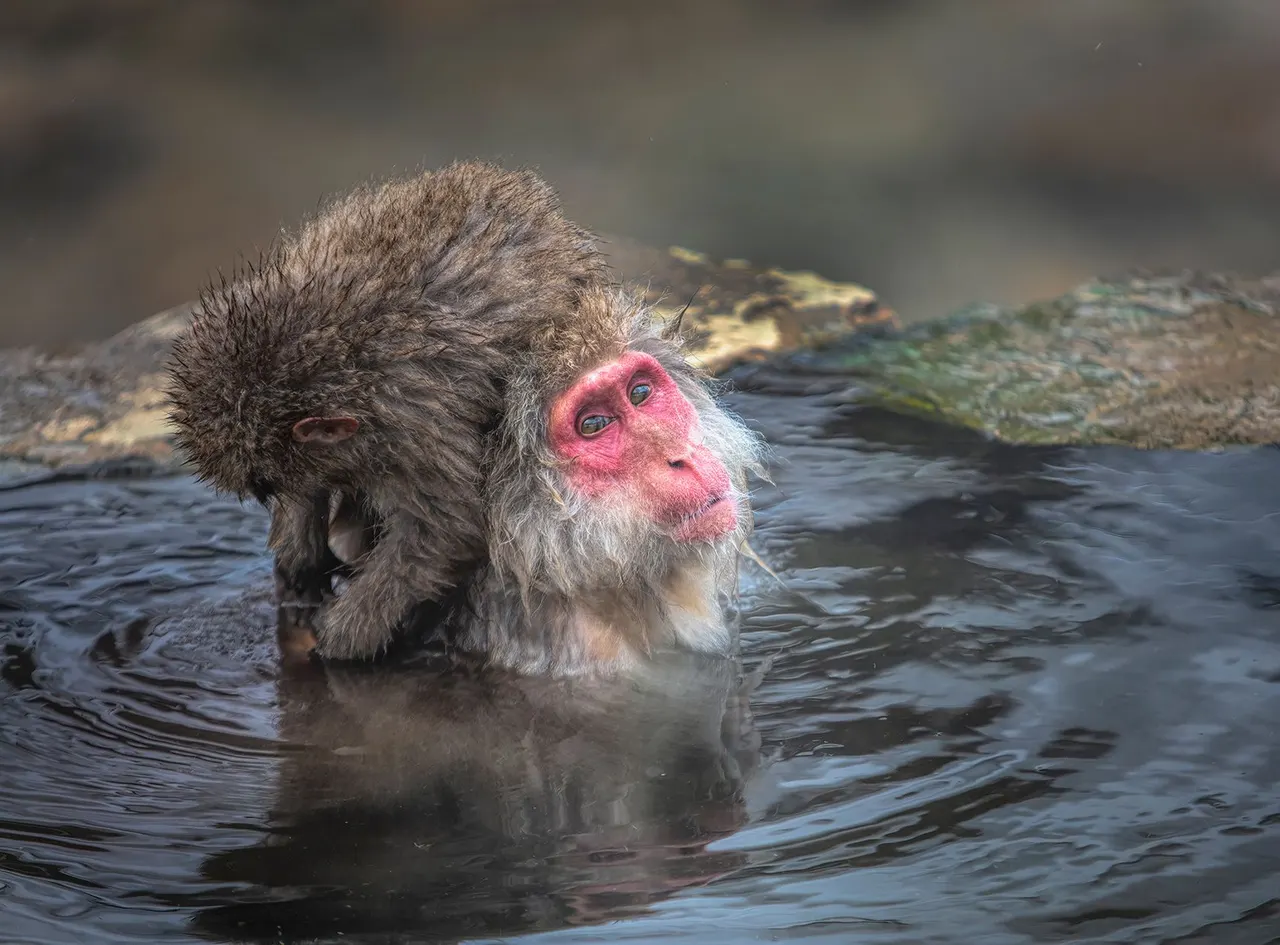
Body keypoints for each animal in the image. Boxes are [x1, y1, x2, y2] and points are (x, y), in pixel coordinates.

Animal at [166, 160, 609, 661]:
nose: (273, 496)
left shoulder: (413, 425)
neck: (343, 348)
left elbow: (446, 529)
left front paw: (342, 636)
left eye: (264, 485)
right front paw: (299, 558)